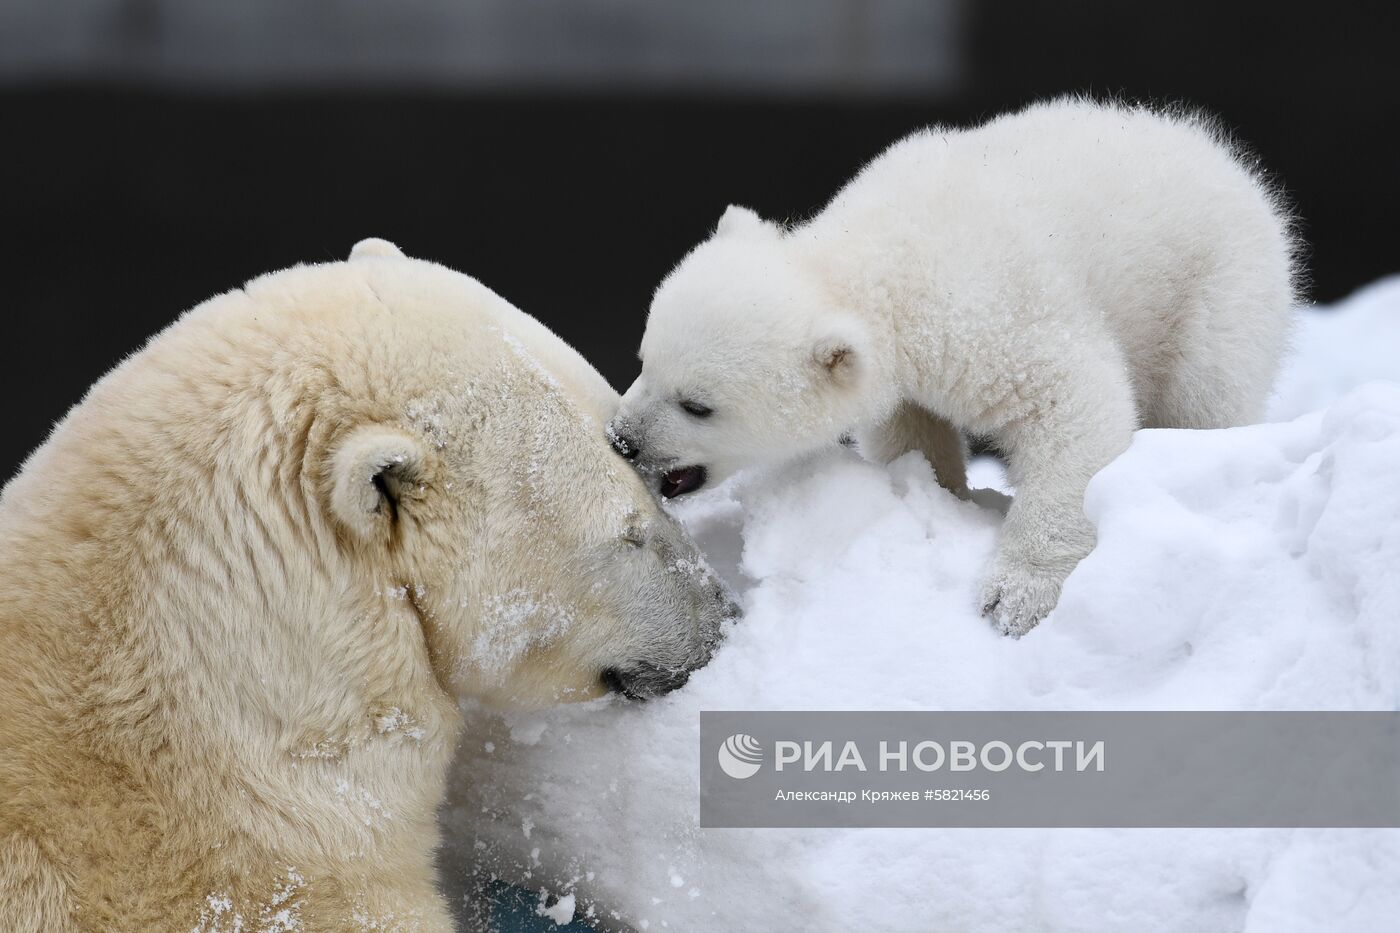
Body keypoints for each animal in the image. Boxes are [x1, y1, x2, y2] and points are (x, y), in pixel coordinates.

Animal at [613, 98, 1299, 633]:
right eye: (644, 360)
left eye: (697, 405)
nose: (622, 440)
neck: (880, 257)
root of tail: (1218, 152)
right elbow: (912, 429)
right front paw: (941, 495)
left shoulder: (990, 314)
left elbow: (1073, 401)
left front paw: (1017, 594)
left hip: (1215, 289)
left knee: (1207, 393)